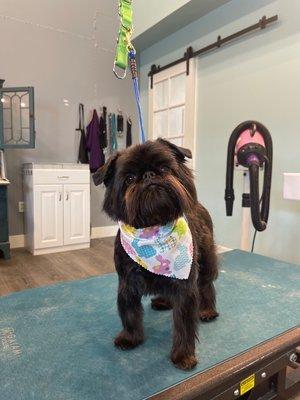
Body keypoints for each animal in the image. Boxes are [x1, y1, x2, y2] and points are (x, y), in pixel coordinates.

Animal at [94, 139, 218, 370]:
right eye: (129, 178)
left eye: (164, 168)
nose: (149, 175)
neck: (153, 228)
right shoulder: (127, 284)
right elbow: (129, 313)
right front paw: (130, 337)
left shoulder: (185, 287)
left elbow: (184, 324)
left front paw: (183, 355)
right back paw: (164, 301)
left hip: (206, 261)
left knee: (206, 285)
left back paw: (207, 310)